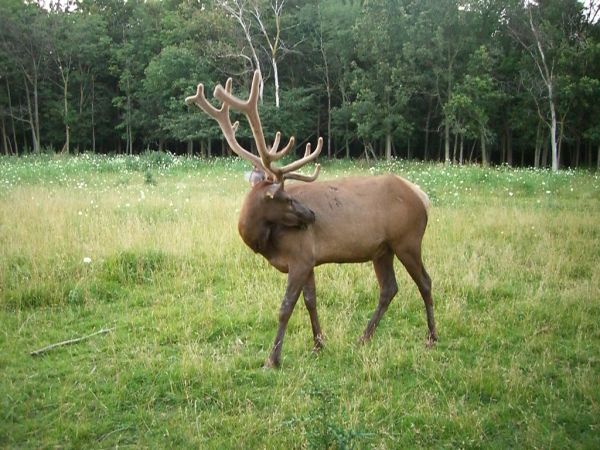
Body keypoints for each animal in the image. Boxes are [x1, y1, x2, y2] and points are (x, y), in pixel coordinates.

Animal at [185, 69, 438, 366]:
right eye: (285, 198)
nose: (312, 215)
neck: (267, 243)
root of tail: (422, 196)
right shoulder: (309, 260)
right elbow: (310, 301)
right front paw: (318, 344)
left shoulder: (301, 256)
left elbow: (286, 307)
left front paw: (273, 359)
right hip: (382, 249)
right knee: (389, 288)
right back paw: (364, 338)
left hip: (408, 240)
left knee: (425, 282)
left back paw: (431, 337)